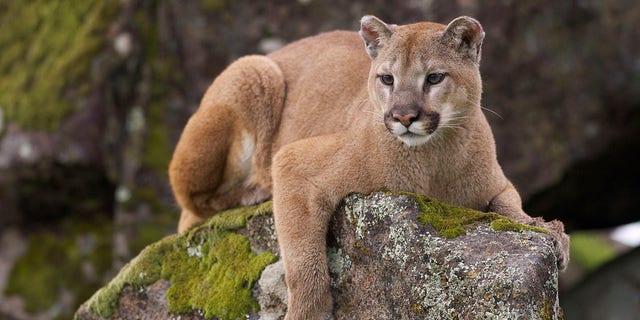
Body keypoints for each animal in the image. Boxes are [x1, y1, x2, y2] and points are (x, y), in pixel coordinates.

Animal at [169, 14, 568, 318]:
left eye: (434, 77)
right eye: (387, 78)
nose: (404, 116)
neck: (432, 160)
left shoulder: (498, 184)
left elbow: (510, 207)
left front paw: (547, 230)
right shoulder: (294, 163)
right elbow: (303, 261)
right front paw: (310, 312)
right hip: (253, 70)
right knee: (191, 207)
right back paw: (253, 191)